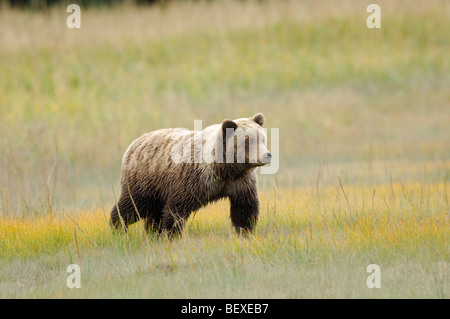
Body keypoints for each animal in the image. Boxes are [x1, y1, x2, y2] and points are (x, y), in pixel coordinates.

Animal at [109, 114, 270, 239]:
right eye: (249, 141)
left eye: (263, 139)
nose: (267, 155)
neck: (225, 169)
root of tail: (134, 143)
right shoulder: (193, 180)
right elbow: (176, 209)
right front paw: (171, 235)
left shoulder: (240, 182)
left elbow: (244, 208)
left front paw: (245, 232)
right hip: (145, 181)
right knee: (132, 206)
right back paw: (118, 228)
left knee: (153, 213)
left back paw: (152, 233)